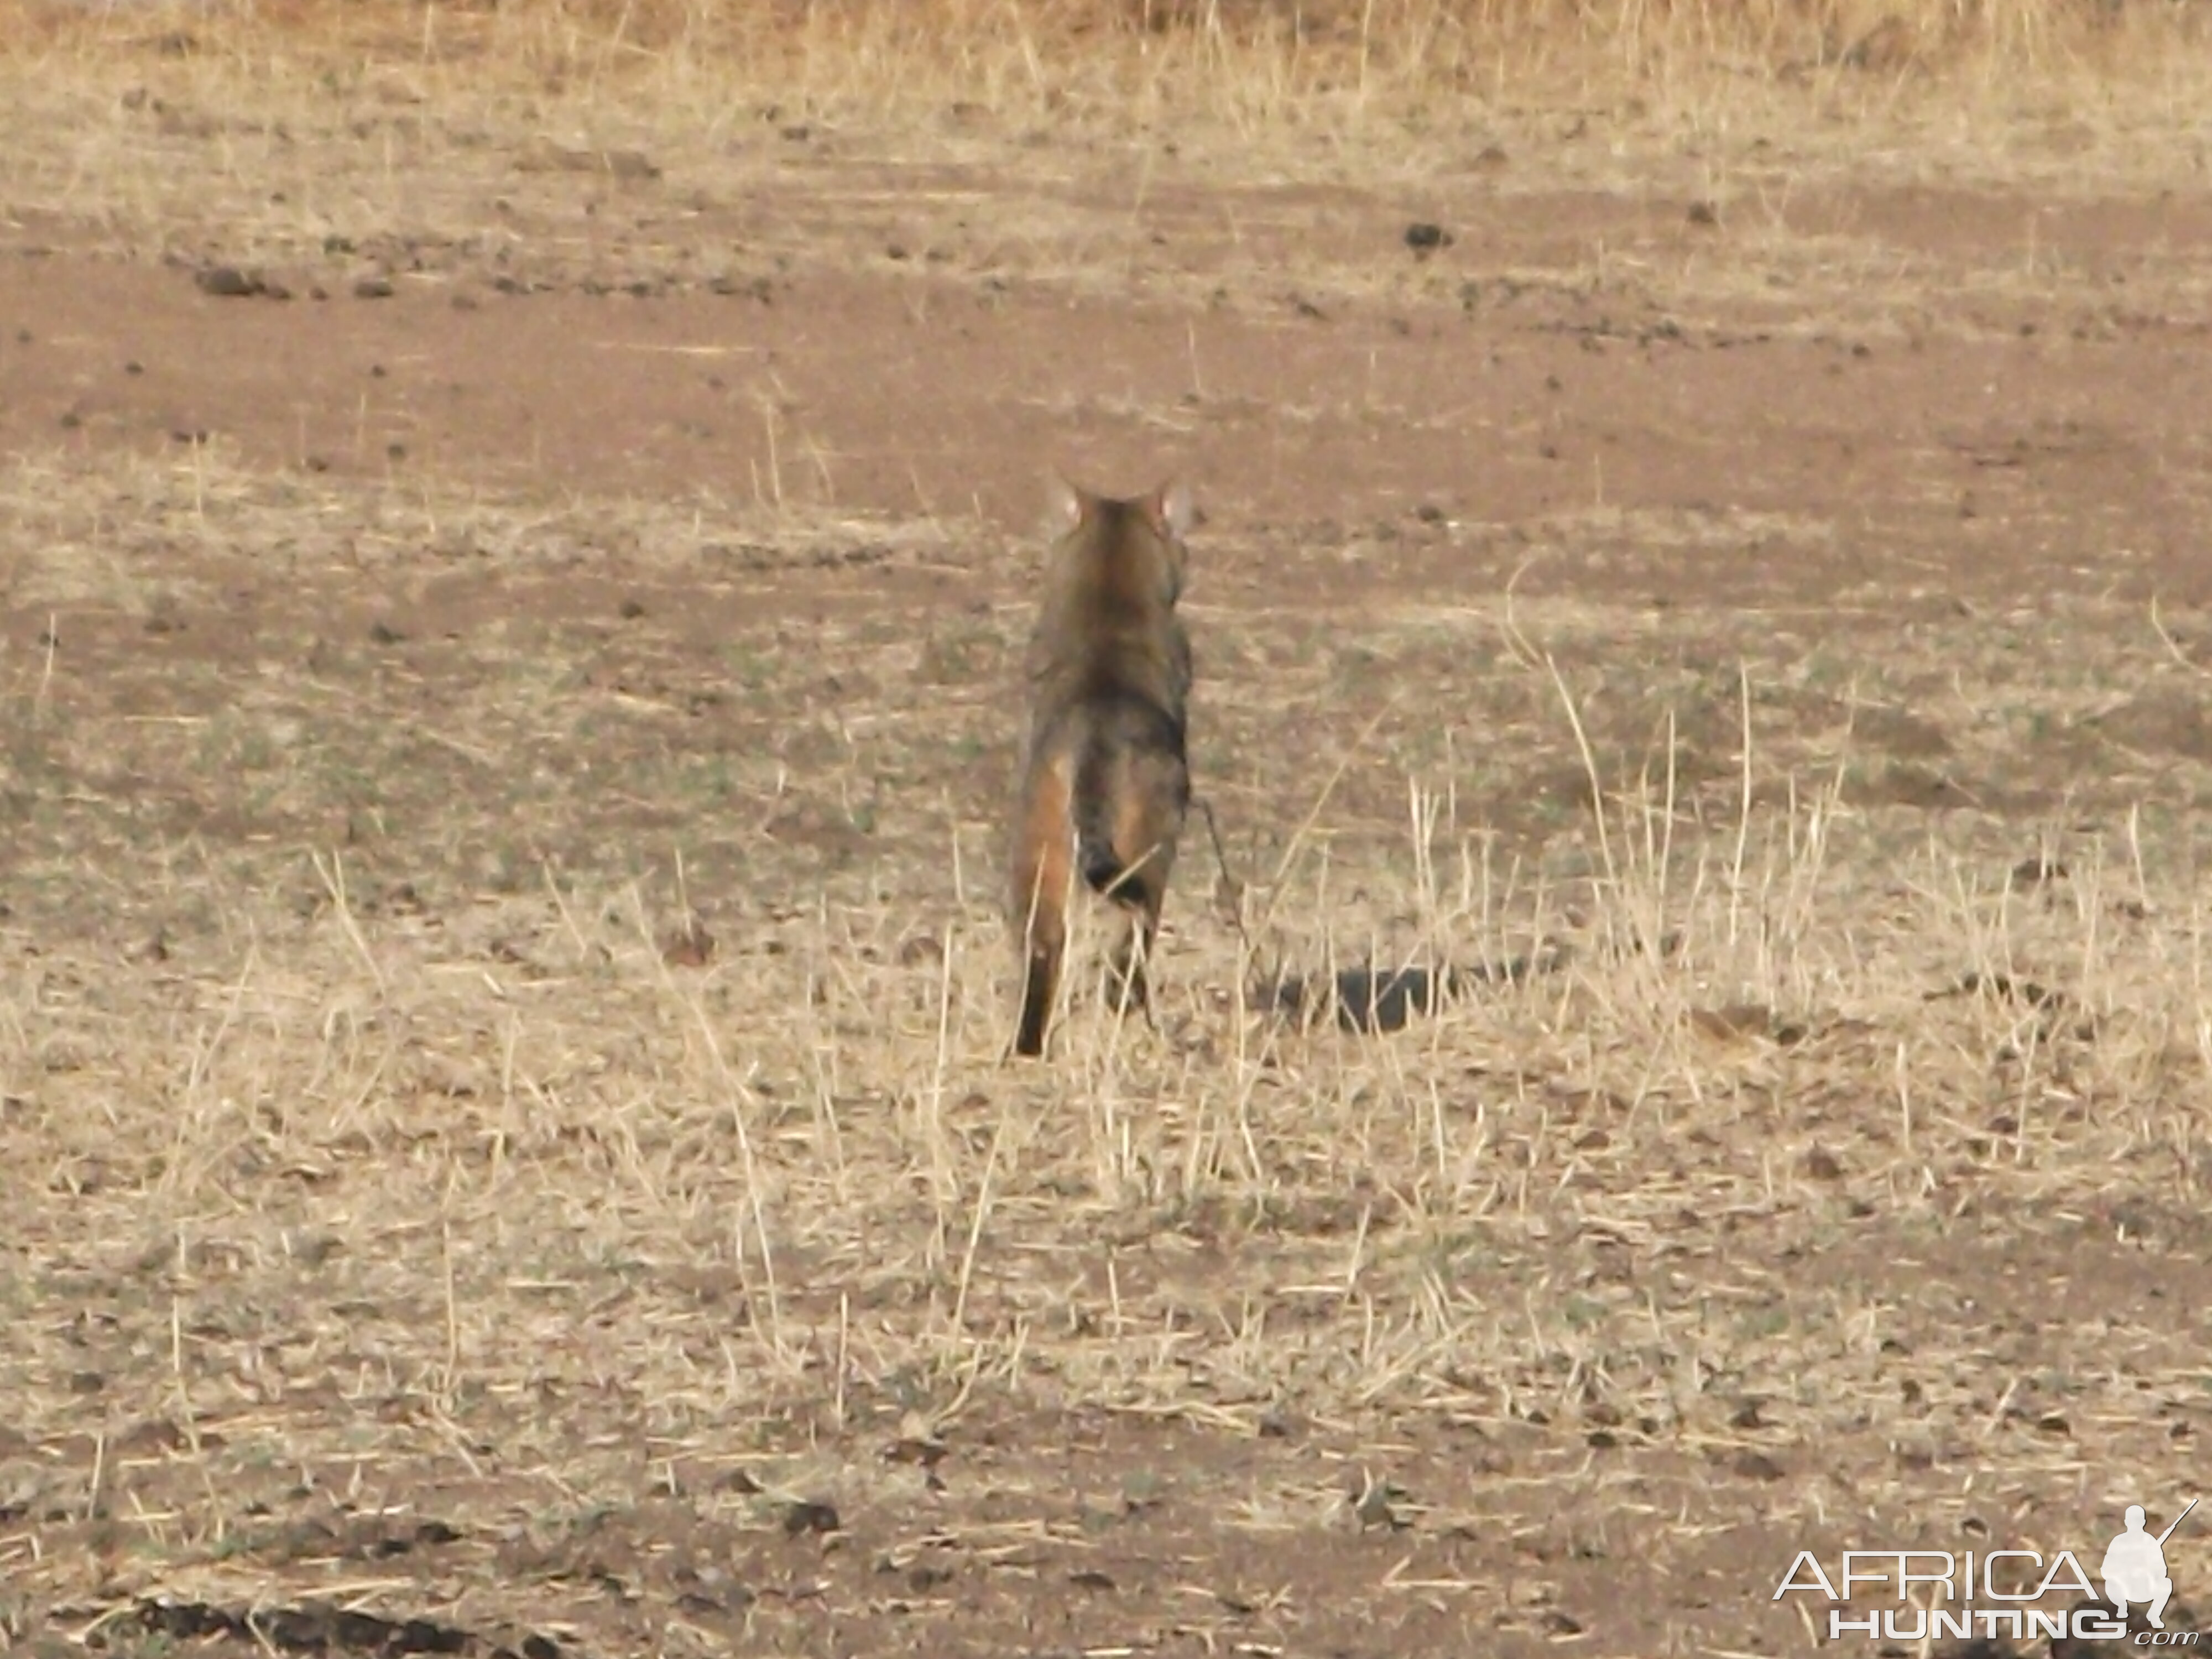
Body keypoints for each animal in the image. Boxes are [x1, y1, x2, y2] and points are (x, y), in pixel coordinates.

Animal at [1013, 473, 1203, 1057]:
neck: (1110, 592)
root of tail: (1093, 742)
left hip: (1039, 845)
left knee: (1043, 947)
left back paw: (1028, 1048)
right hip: (1148, 856)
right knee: (1127, 959)